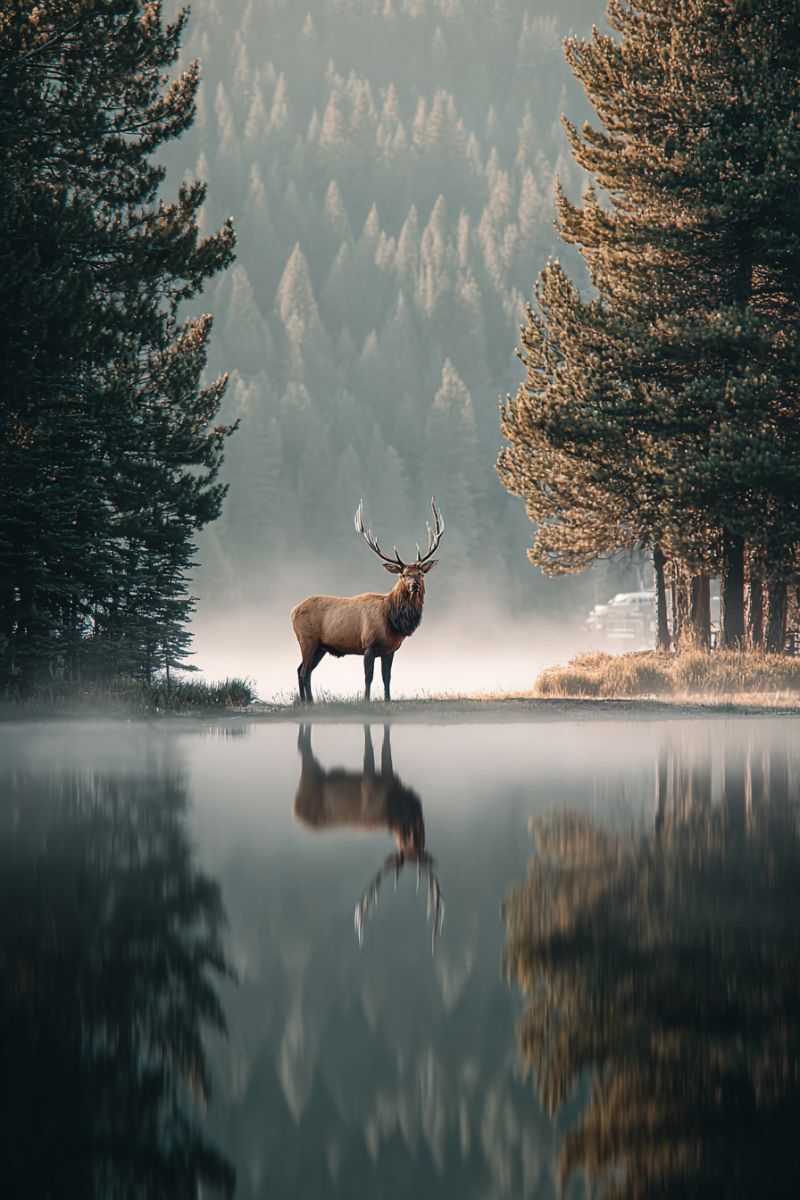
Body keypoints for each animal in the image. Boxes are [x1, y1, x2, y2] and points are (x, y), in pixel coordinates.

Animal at [290, 498, 444, 704]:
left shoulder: (390, 650)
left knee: (302, 669)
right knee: (304, 671)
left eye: (421, 574)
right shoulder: (368, 645)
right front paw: (366, 700)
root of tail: (292, 611)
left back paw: (308, 702)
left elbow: (387, 677)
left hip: (320, 647)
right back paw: (308, 702)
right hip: (307, 639)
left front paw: (387, 700)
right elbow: (368, 677)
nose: (414, 586)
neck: (392, 621)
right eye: (403, 575)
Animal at [293, 724, 444, 949]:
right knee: (303, 748)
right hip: (310, 775)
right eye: (405, 843)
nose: (412, 841)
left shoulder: (389, 774)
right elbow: (372, 747)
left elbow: (386, 747)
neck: (399, 806)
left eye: (416, 845)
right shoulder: (373, 778)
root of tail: (295, 809)